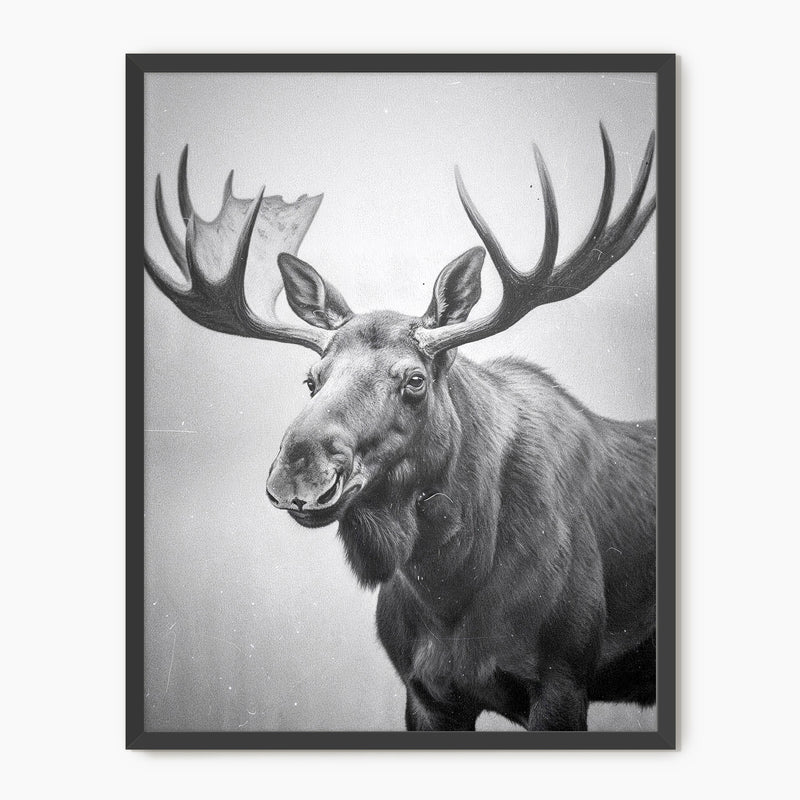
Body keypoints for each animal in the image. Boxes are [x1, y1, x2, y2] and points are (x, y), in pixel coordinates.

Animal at [144, 124, 657, 731]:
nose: (297, 472)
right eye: (311, 379)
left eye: (413, 379)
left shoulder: (563, 675)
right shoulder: (425, 692)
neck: (451, 585)